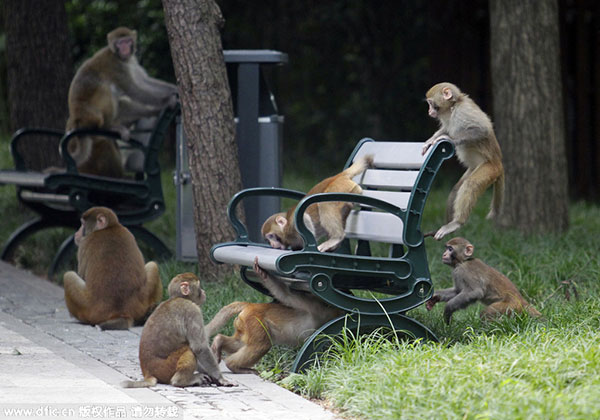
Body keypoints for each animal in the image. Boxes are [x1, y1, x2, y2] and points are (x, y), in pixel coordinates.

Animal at [66, 26, 178, 177]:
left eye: (127, 41)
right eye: (120, 43)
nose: (125, 48)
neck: (121, 58)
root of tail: (76, 118)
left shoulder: (132, 62)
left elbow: (144, 82)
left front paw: (175, 89)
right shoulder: (116, 67)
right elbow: (133, 89)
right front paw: (167, 101)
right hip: (91, 115)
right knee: (105, 88)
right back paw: (109, 127)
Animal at [209, 256, 344, 374]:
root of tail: (250, 305)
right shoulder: (314, 306)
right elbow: (287, 295)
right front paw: (263, 274)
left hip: (244, 324)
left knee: (241, 342)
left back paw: (219, 341)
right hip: (254, 321)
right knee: (260, 345)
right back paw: (233, 365)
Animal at [422, 82, 506, 240]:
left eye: (430, 103)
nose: (429, 111)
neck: (453, 106)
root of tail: (499, 162)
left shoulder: (463, 111)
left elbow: (482, 130)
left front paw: (448, 139)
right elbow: (445, 128)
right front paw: (431, 140)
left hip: (489, 168)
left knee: (470, 185)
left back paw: (457, 223)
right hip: (474, 168)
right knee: (456, 190)